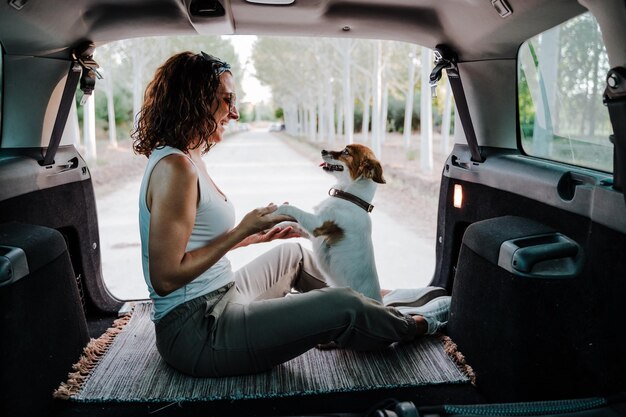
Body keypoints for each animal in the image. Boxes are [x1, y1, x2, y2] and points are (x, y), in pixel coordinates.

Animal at [274, 145, 382, 300]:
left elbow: (292, 209)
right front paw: (279, 227)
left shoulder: (316, 225)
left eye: (346, 152)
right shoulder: (314, 234)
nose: (323, 151)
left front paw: (277, 209)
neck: (350, 198)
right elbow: (295, 224)